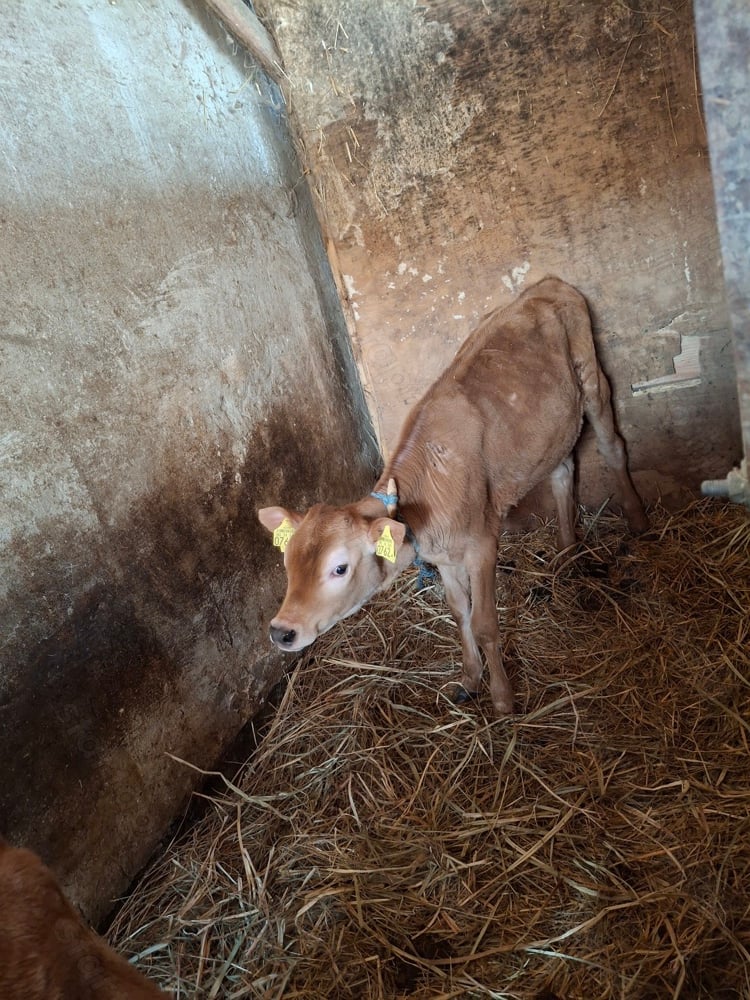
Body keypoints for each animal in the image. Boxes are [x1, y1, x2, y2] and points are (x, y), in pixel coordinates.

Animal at [258, 278, 648, 716]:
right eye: (287, 563)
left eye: (339, 568)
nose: (282, 631)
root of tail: (545, 283)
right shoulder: (443, 557)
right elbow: (459, 614)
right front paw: (469, 678)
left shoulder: (482, 544)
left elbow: (484, 623)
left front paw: (503, 698)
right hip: (551, 426)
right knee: (563, 469)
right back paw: (566, 550)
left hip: (593, 377)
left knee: (613, 447)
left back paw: (638, 520)